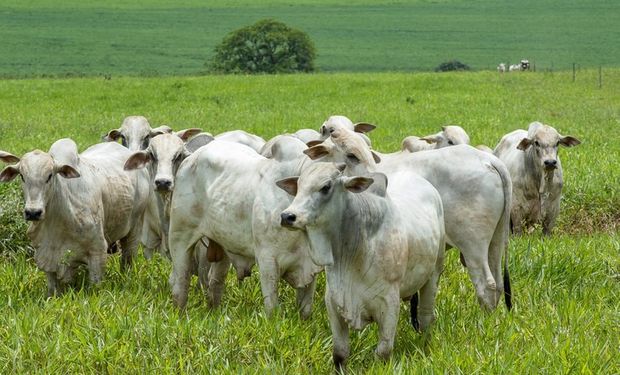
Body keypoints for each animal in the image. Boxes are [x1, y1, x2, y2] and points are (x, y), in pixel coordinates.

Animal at [0, 139, 150, 296]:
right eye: (22, 176)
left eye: (50, 176)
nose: (33, 212)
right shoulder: (45, 255)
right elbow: (53, 288)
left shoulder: (98, 251)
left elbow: (95, 286)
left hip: (135, 228)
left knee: (128, 257)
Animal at [170, 136, 324, 318]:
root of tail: (191, 158)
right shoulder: (267, 260)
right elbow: (272, 308)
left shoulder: (309, 269)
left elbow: (305, 310)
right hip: (179, 237)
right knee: (180, 282)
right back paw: (179, 314)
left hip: (222, 246)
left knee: (215, 282)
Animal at [278, 163, 446, 372]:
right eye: (299, 185)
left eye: (326, 187)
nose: (287, 216)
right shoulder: (333, 301)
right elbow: (340, 353)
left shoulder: (389, 303)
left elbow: (383, 352)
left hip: (434, 274)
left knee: (425, 318)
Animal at [306, 129, 512, 312]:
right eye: (351, 155)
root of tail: (489, 160)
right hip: (496, 241)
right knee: (498, 283)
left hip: (473, 245)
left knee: (486, 285)